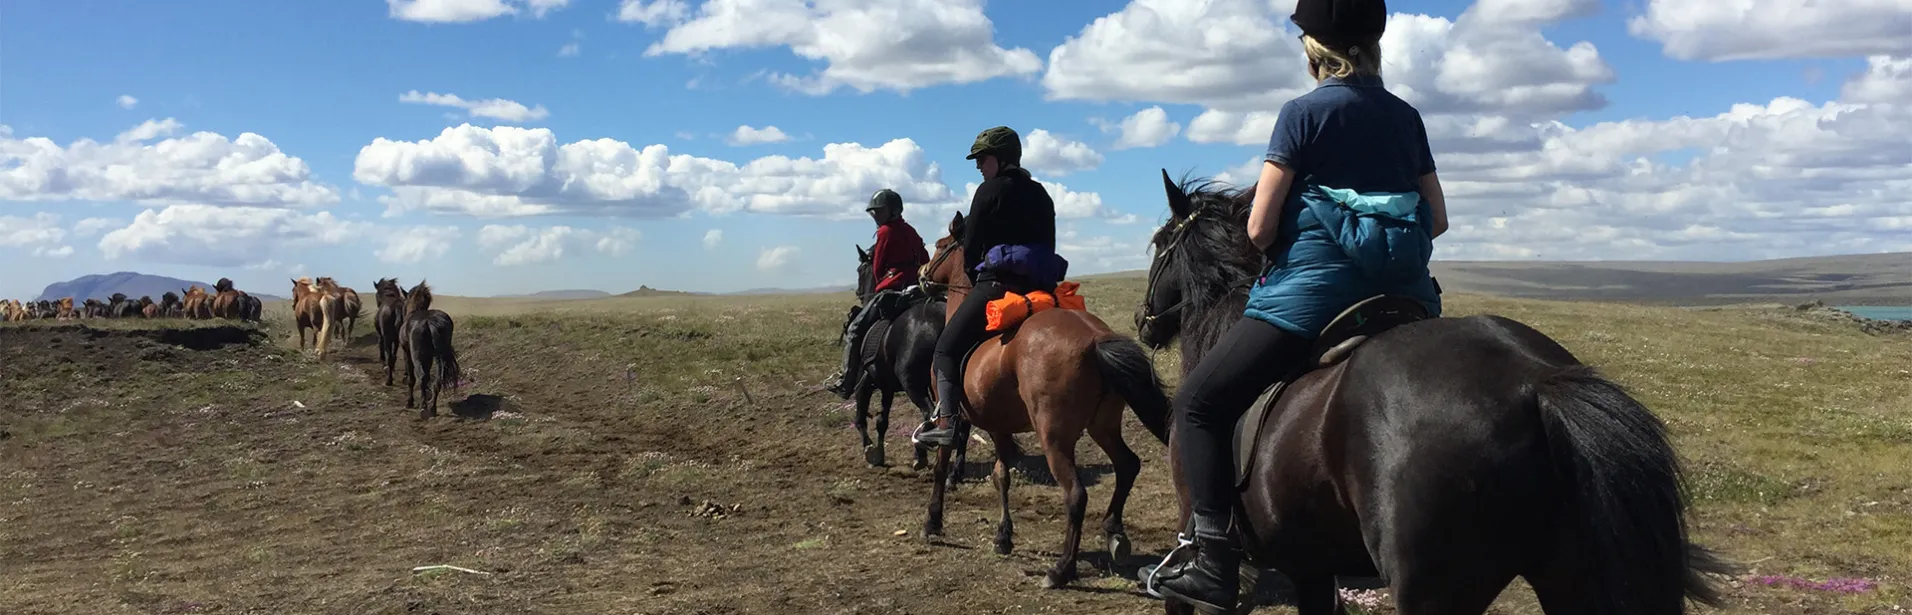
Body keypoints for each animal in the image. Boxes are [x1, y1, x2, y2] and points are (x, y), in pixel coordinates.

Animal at [917, 212, 1170, 592]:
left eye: (940, 247)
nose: (922, 275)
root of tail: (1095, 338)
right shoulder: (1000, 427)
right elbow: (1001, 476)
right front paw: (1003, 537)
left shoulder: (953, 419)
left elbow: (941, 466)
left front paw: (933, 522)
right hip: (1103, 425)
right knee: (1128, 465)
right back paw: (1114, 532)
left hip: (1054, 436)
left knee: (1076, 494)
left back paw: (1061, 569)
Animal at [1131, 172, 1751, 615]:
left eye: (1159, 244)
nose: (1142, 322)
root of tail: (1537, 380)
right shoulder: (1311, 567)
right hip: (1571, 575)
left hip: (1435, 591)